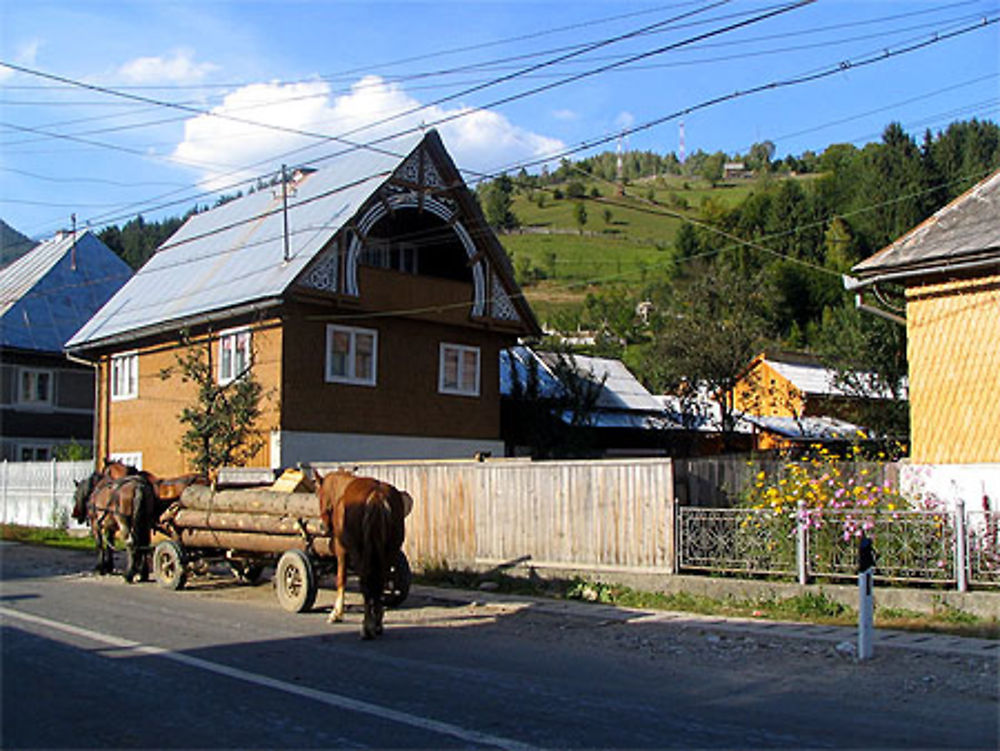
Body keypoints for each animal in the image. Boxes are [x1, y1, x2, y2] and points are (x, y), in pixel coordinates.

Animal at [314, 470, 404, 640]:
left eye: (318, 494)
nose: (323, 526)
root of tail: (377, 494)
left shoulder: (342, 549)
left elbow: (341, 578)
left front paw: (337, 613)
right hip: (390, 552)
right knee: (379, 581)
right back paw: (377, 623)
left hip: (360, 552)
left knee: (366, 584)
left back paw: (367, 627)